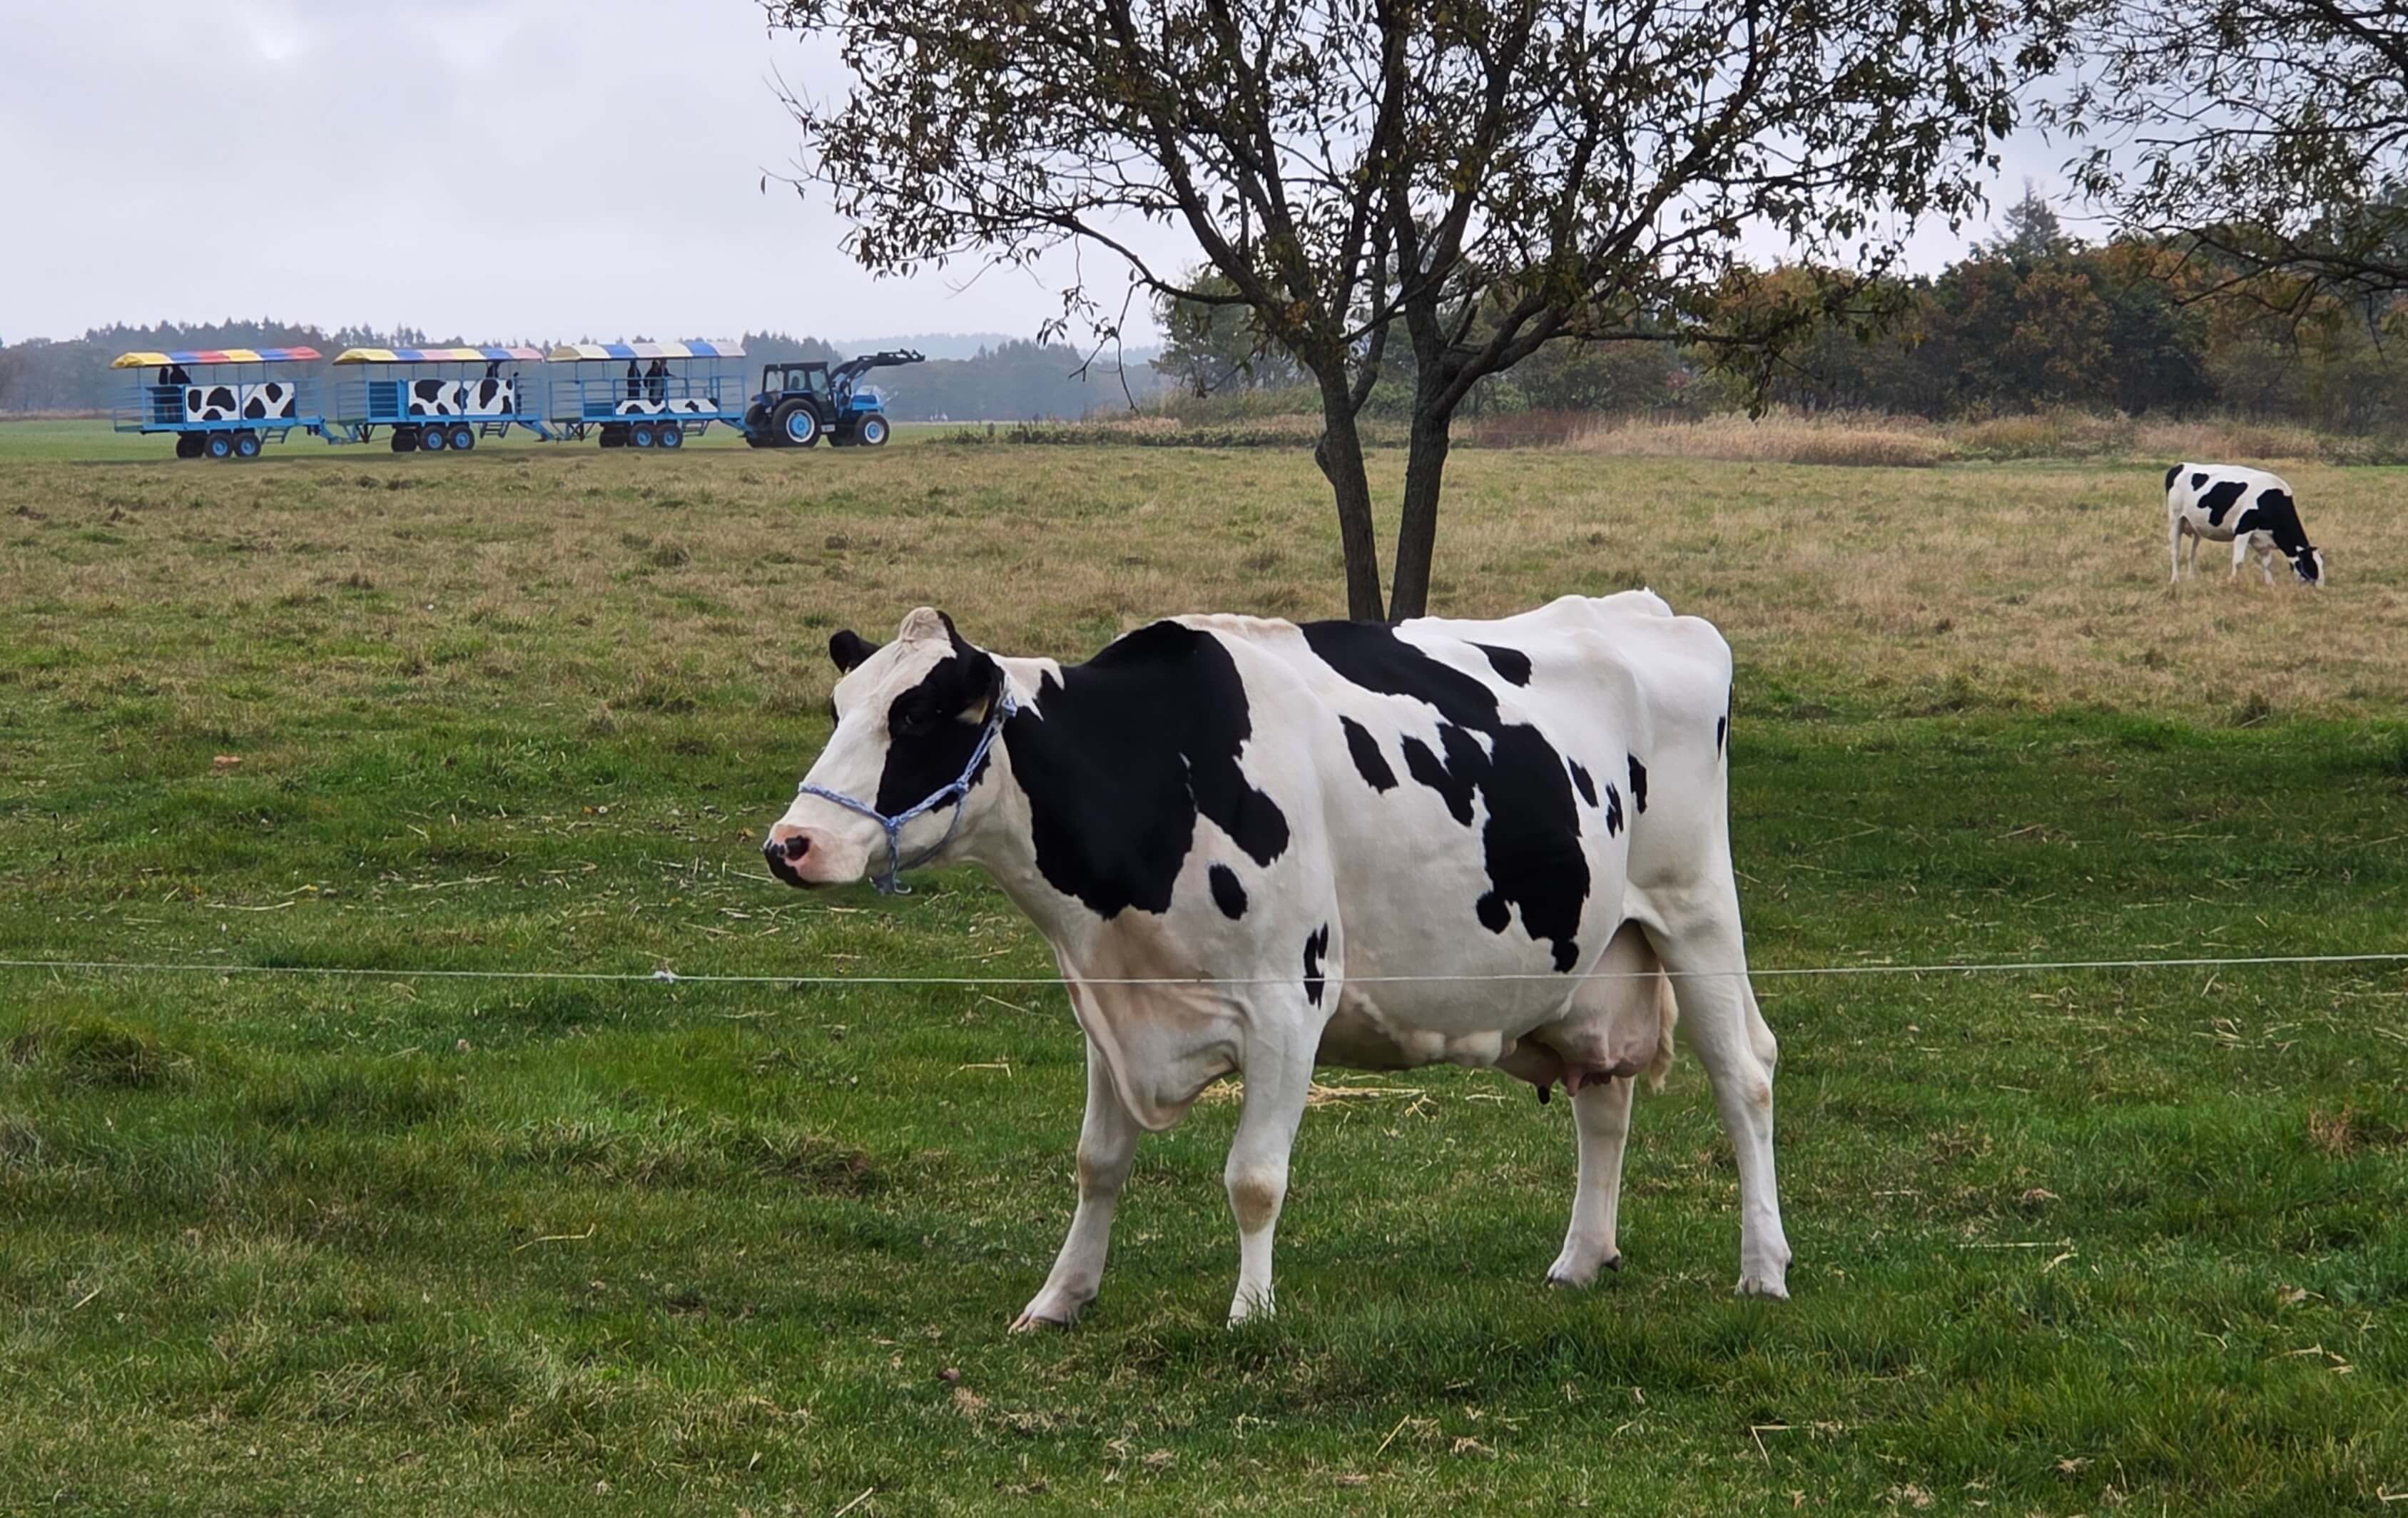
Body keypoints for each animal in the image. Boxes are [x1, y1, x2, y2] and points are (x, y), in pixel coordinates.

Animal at [760, 596, 1790, 1327]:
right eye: (840, 707)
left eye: (918, 717)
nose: (790, 844)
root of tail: (1647, 610)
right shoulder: (1107, 1004)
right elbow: (1098, 1162)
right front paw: (1059, 1298)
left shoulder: (1288, 1000)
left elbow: (1253, 1177)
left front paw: (1251, 1311)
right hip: (1588, 956)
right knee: (1602, 1095)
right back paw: (1579, 1260)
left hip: (1695, 910)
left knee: (1744, 1074)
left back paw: (1762, 1269)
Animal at [2166, 463, 2325, 587]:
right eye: (2310, 565)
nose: (2320, 587)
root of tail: (2180, 466)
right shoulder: (2243, 530)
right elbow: (2238, 561)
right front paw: (2233, 583)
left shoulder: (2263, 539)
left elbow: (2267, 563)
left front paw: (2270, 584)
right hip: (2176, 519)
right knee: (2175, 551)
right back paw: (2175, 580)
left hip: (2196, 526)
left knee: (2192, 553)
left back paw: (2191, 579)